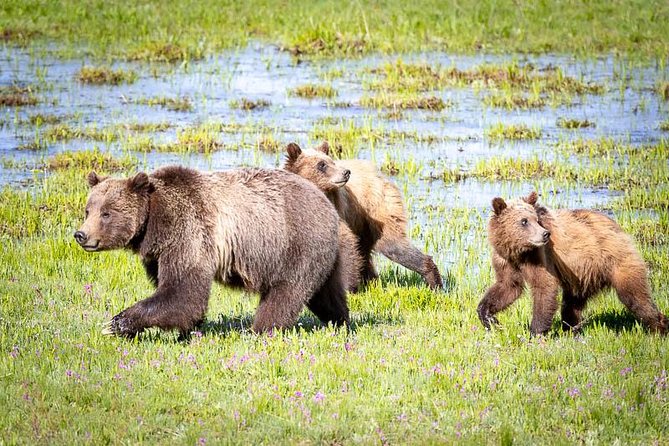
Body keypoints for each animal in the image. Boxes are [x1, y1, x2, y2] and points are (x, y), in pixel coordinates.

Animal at [75, 166, 350, 336]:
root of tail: (327, 204)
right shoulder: (159, 254)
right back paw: (341, 321)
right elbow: (173, 292)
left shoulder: (188, 232)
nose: (81, 235)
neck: (154, 223)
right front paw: (188, 329)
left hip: (294, 243)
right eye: (88, 210)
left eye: (106, 213)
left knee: (285, 293)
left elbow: (182, 293)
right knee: (325, 294)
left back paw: (261, 330)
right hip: (319, 254)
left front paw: (115, 324)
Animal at [284, 141, 444, 290]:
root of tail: (379, 175)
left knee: (393, 245)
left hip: (377, 208)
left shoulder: (336, 213)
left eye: (331, 161)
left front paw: (348, 287)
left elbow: (346, 242)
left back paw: (434, 281)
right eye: (321, 165)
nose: (346, 172)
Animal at [478, 191, 664, 334]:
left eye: (535, 219)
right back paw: (572, 329)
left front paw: (535, 332)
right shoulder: (505, 260)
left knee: (635, 297)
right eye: (524, 221)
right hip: (583, 274)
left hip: (617, 260)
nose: (545, 234)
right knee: (572, 303)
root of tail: (618, 227)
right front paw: (489, 318)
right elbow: (508, 286)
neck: (518, 251)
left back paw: (659, 327)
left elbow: (544, 287)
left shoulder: (540, 256)